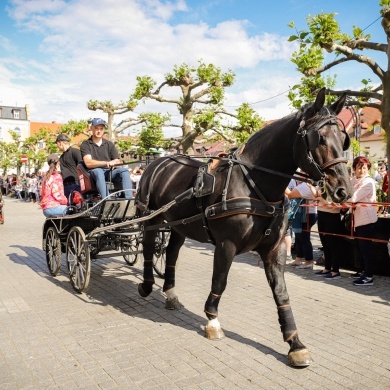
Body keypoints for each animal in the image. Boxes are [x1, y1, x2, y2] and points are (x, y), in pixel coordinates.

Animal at [136, 88, 352, 366]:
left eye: (344, 139)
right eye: (319, 138)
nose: (343, 190)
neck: (254, 185)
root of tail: (157, 162)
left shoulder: (274, 249)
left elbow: (281, 293)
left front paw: (295, 343)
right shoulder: (226, 245)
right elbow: (220, 281)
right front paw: (212, 321)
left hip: (180, 225)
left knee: (171, 253)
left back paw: (171, 294)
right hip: (151, 219)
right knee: (148, 247)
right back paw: (146, 285)